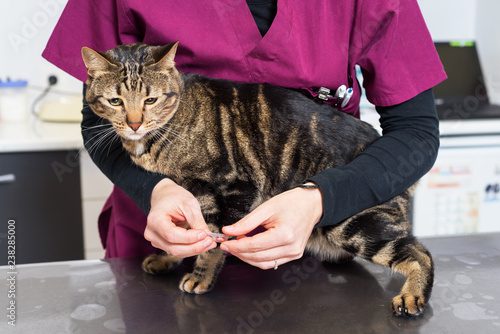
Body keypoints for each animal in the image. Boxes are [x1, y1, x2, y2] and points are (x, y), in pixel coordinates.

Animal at [82, 42, 434, 318]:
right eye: (115, 101)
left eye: (150, 100)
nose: (134, 124)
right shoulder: (188, 193)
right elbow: (188, 230)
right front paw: (170, 255)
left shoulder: (235, 186)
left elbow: (213, 242)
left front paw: (201, 277)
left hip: (352, 224)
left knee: (419, 252)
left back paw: (412, 296)